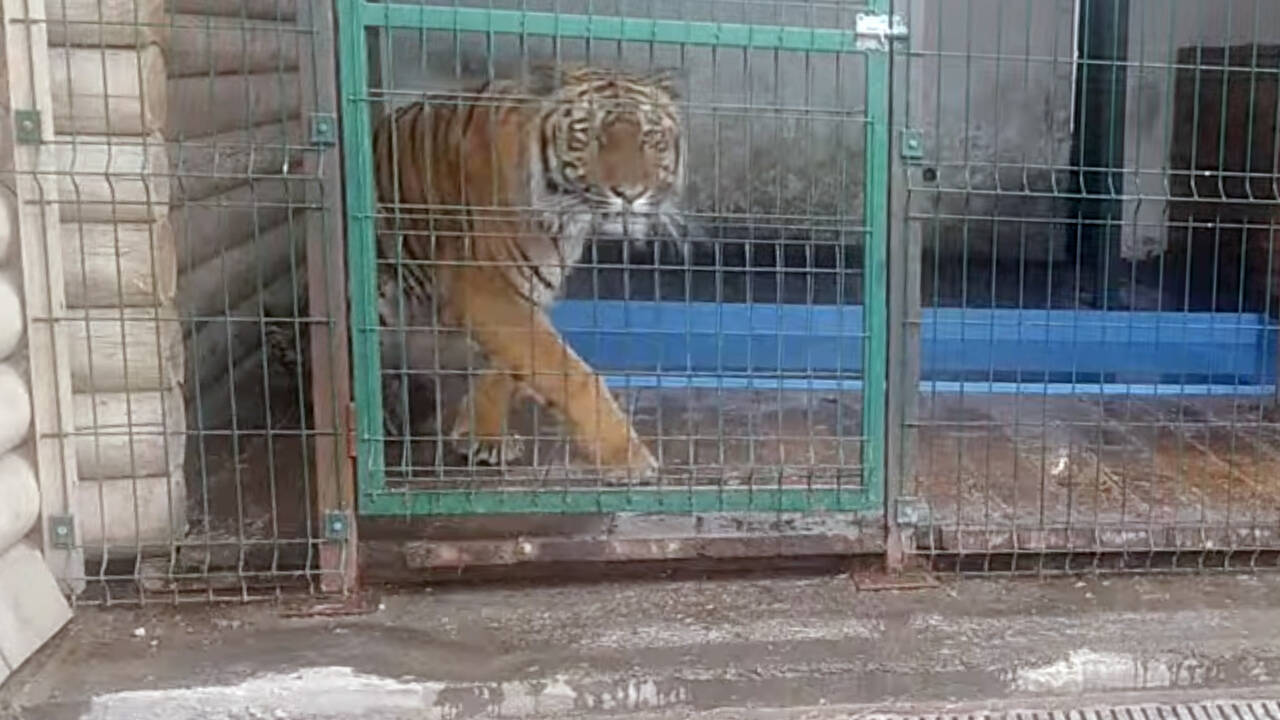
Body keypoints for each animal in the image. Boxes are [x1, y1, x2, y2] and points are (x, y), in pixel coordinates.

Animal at [371, 64, 686, 479]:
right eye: (591, 137)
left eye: (650, 138)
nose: (630, 194)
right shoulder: (485, 288)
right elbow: (570, 373)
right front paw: (628, 456)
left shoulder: (526, 289)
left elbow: (507, 366)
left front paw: (483, 435)